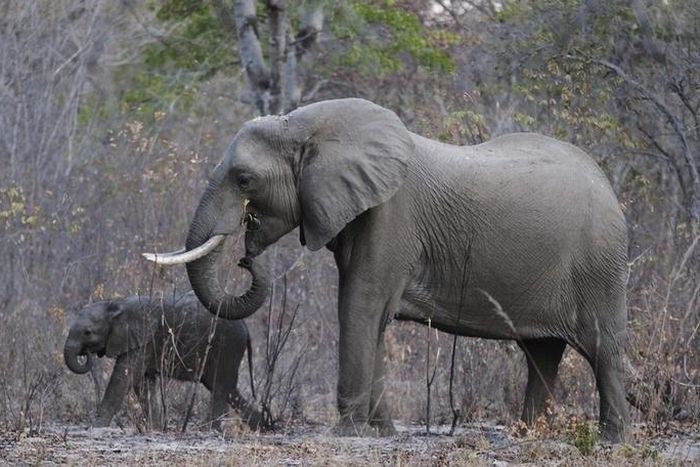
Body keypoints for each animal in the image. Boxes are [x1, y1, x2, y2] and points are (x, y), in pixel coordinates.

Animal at [63, 292, 264, 431]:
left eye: (88, 333)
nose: (86, 354)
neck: (115, 305)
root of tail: (245, 326)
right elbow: (142, 383)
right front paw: (156, 428)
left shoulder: (143, 338)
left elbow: (123, 378)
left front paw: (95, 427)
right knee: (227, 389)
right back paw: (262, 425)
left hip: (227, 346)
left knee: (221, 388)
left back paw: (212, 430)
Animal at [144, 98, 629, 441]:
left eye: (245, 180)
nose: (246, 254)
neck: (305, 124)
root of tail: (608, 184)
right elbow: (371, 315)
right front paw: (381, 432)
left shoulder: (391, 215)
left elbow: (359, 304)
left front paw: (347, 433)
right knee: (542, 352)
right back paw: (530, 434)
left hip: (599, 264)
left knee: (601, 347)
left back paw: (611, 438)